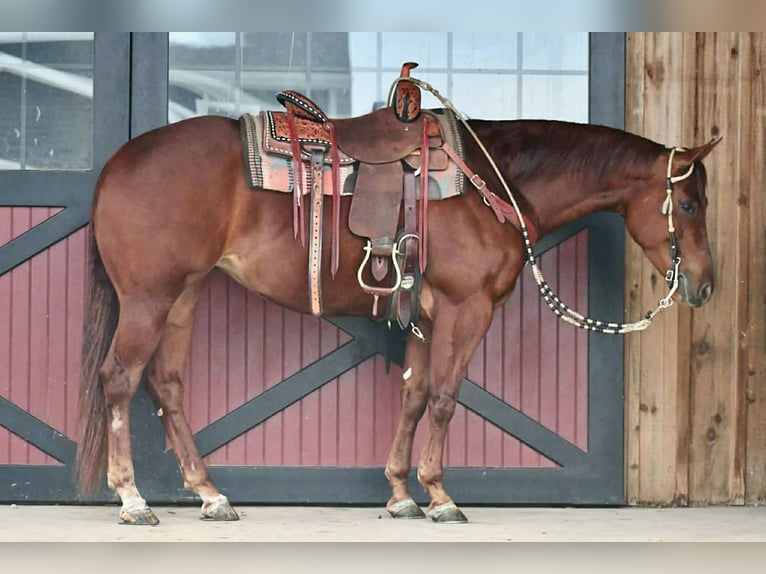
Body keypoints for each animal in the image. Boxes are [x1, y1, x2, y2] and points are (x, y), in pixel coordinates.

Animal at [75, 94, 719, 525]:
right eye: (688, 204)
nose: (706, 286)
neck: (497, 183)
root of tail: (117, 164)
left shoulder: (427, 317)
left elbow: (413, 395)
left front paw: (402, 494)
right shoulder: (466, 309)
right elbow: (444, 397)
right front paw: (441, 496)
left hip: (183, 295)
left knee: (166, 383)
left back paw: (210, 494)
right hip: (149, 298)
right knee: (120, 379)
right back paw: (132, 499)